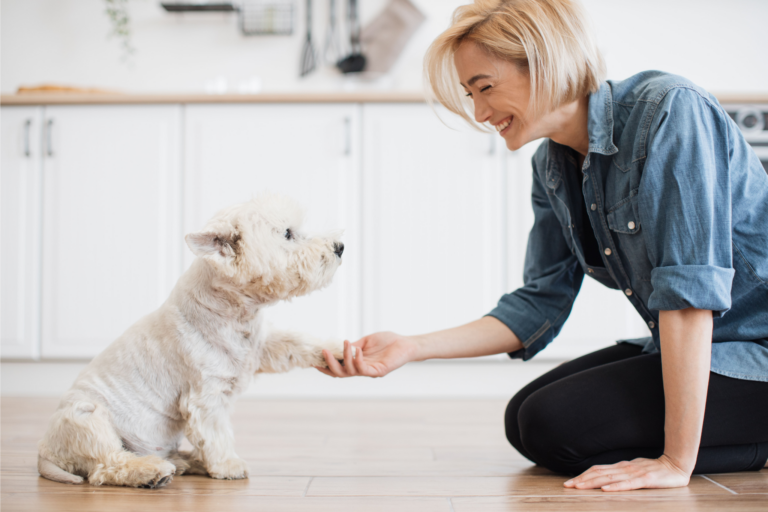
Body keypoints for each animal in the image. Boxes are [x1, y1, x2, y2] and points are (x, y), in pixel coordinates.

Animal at [36, 195, 344, 488]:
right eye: (288, 234)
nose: (340, 246)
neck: (234, 312)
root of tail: (46, 453)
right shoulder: (206, 395)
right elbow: (216, 432)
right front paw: (229, 465)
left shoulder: (261, 347)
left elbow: (294, 343)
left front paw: (338, 351)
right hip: (86, 418)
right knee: (107, 465)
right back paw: (153, 471)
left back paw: (186, 462)